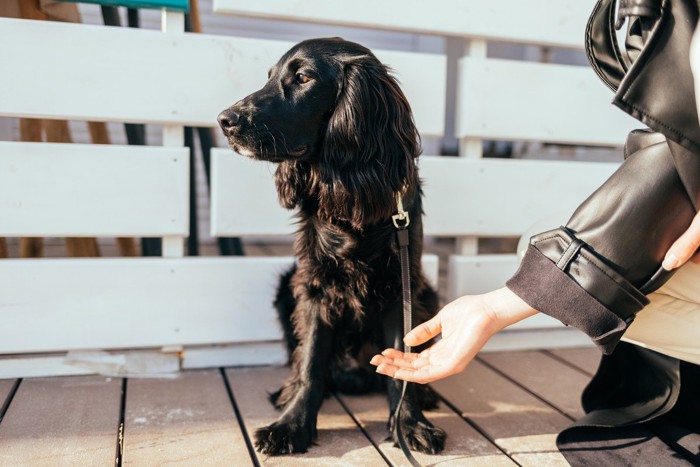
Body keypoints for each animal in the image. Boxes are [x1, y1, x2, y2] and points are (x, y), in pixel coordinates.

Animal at [219, 37, 446, 458]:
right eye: (270, 76)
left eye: (304, 78)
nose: (225, 120)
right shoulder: (315, 286)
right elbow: (310, 362)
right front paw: (291, 425)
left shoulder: (399, 286)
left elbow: (401, 360)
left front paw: (409, 423)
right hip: (286, 287)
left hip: (427, 292)